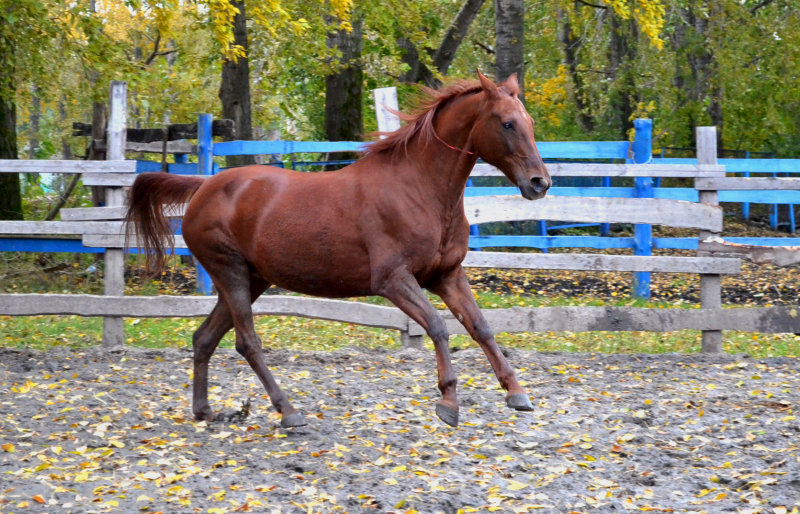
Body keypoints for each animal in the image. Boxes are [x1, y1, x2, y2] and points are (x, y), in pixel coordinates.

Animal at [125, 70, 552, 426]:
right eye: (507, 123)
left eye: (529, 122)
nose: (539, 183)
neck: (419, 189)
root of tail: (204, 186)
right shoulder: (393, 281)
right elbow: (436, 326)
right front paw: (448, 403)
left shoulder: (446, 276)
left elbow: (481, 327)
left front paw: (517, 394)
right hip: (230, 273)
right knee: (247, 343)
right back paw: (289, 412)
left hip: (251, 279)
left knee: (204, 338)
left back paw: (205, 411)